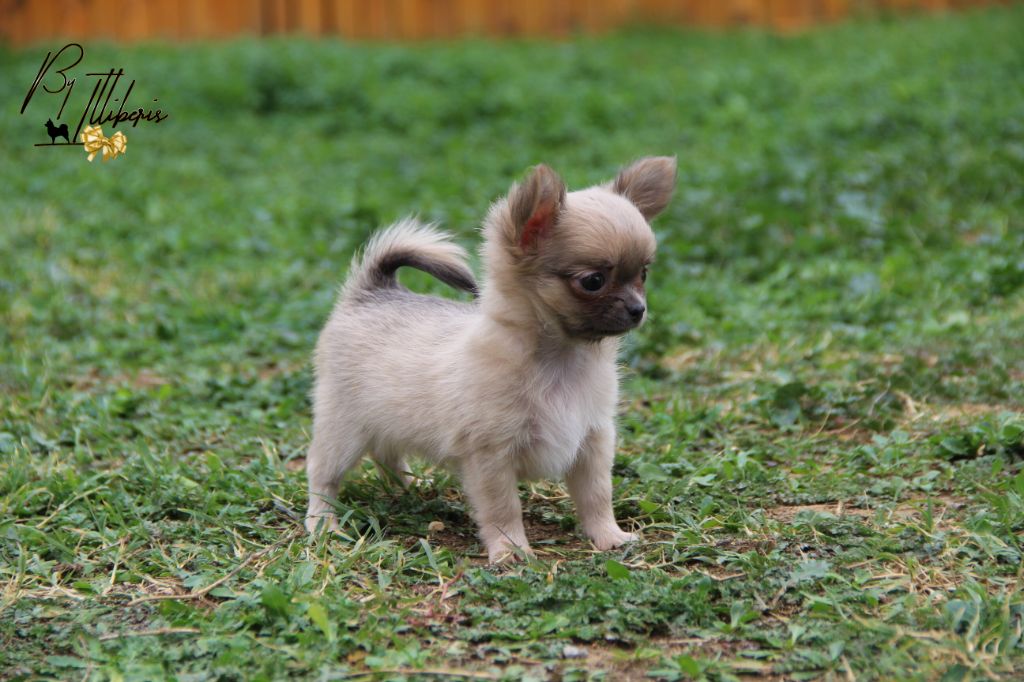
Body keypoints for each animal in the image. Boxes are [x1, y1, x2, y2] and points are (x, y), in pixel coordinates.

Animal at [305, 157, 676, 563]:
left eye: (643, 274)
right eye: (593, 281)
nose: (639, 310)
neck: (561, 360)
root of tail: (373, 292)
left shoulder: (592, 442)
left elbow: (597, 497)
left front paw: (609, 537)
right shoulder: (491, 455)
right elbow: (503, 508)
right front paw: (511, 550)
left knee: (386, 454)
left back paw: (408, 486)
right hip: (343, 431)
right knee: (323, 474)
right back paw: (323, 521)